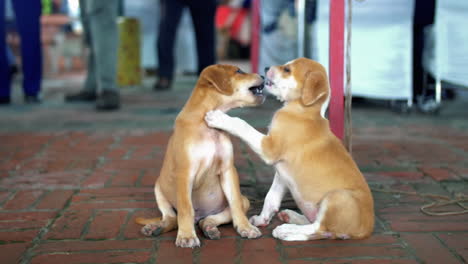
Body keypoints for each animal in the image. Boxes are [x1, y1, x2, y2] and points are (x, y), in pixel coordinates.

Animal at [137, 64, 266, 248]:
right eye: (239, 71)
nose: (263, 75)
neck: (207, 126)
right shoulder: (185, 173)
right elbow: (186, 208)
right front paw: (186, 236)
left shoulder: (228, 170)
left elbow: (235, 204)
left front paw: (245, 227)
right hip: (158, 188)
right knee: (171, 218)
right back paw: (156, 227)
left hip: (244, 201)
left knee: (209, 219)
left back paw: (210, 228)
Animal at [207, 58, 374, 241]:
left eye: (287, 69)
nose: (266, 68)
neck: (303, 109)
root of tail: (367, 230)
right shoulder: (281, 174)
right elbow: (271, 198)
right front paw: (262, 219)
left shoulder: (269, 148)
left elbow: (242, 124)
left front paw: (220, 118)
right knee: (318, 228)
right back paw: (291, 217)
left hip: (336, 197)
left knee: (319, 229)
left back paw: (287, 230)